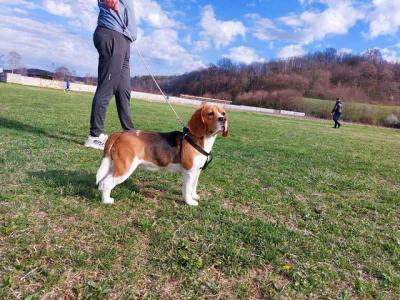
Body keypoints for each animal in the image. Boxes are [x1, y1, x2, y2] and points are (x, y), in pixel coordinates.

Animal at [95, 103, 228, 206]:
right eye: (210, 113)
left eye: (223, 113)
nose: (223, 119)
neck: (198, 139)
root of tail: (120, 134)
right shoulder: (189, 172)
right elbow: (187, 189)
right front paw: (190, 202)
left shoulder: (197, 171)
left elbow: (193, 186)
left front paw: (194, 196)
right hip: (124, 168)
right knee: (106, 183)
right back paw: (107, 201)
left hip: (114, 166)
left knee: (102, 182)